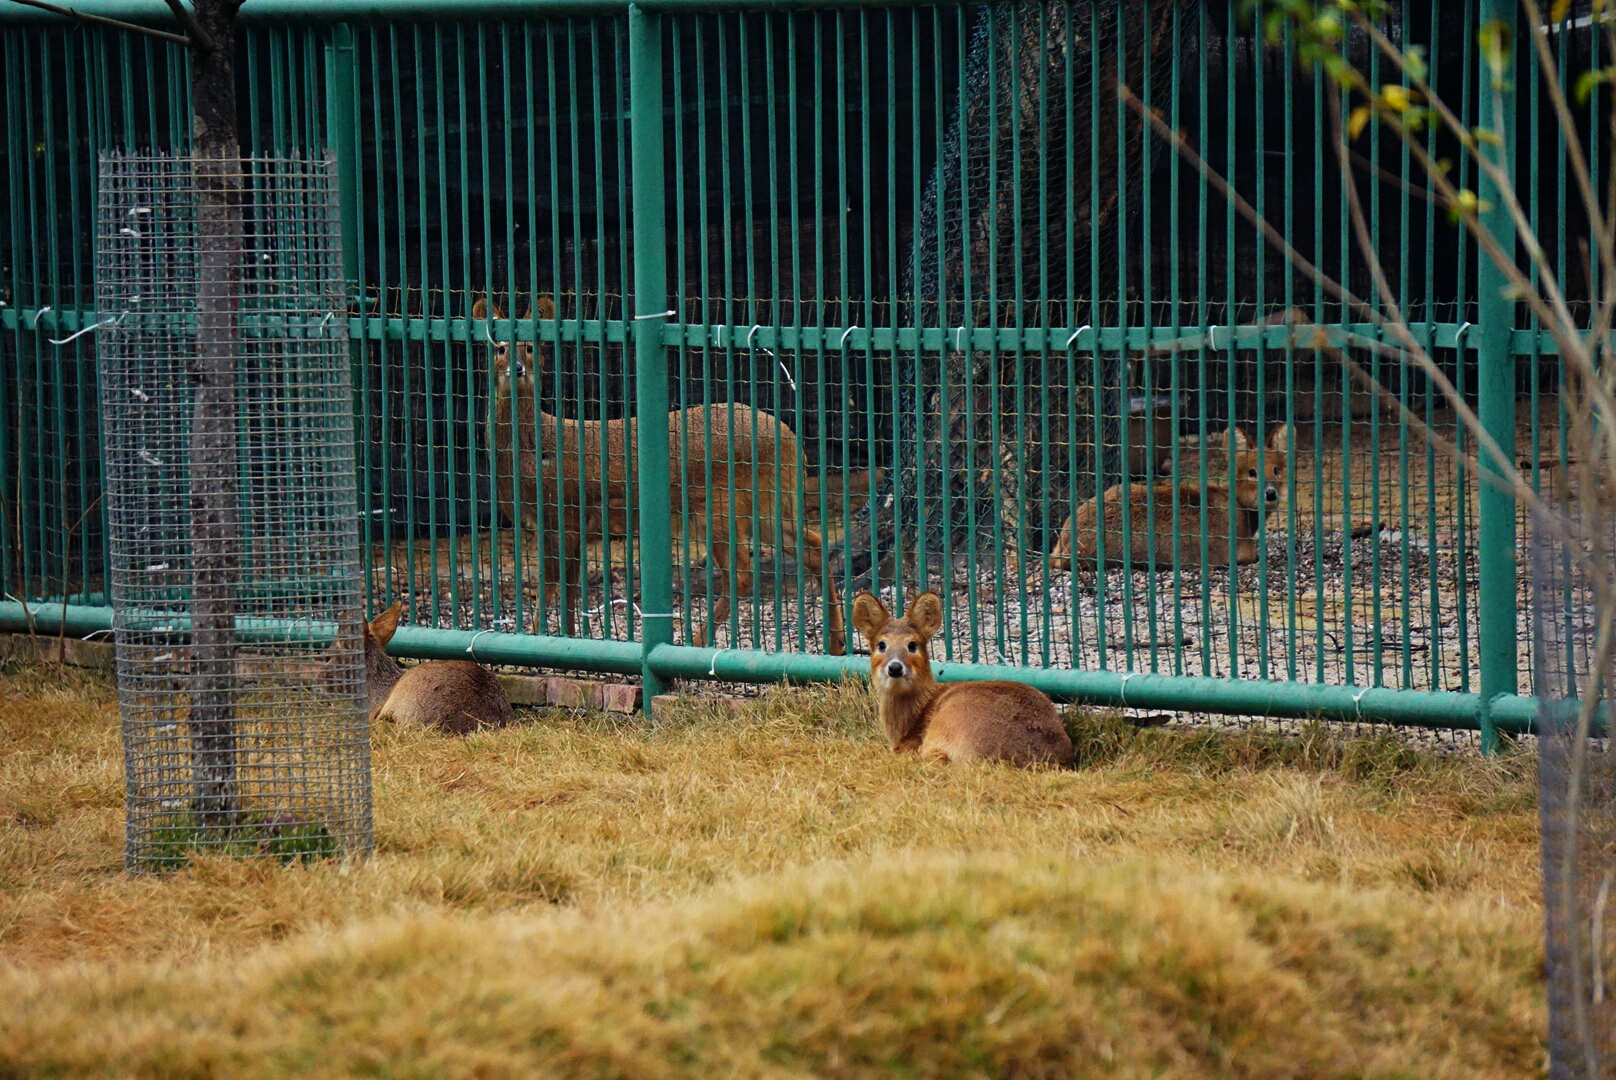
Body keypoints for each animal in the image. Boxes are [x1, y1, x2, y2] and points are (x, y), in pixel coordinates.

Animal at [477, 296, 846, 655]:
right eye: (500, 348)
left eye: (529, 346)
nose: (516, 369)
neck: (533, 454)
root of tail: (792, 443)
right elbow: (563, 590)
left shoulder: (565, 516)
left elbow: (555, 589)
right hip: (768, 506)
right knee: (814, 547)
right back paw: (837, 642)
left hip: (721, 505)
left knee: (741, 574)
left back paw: (697, 642)